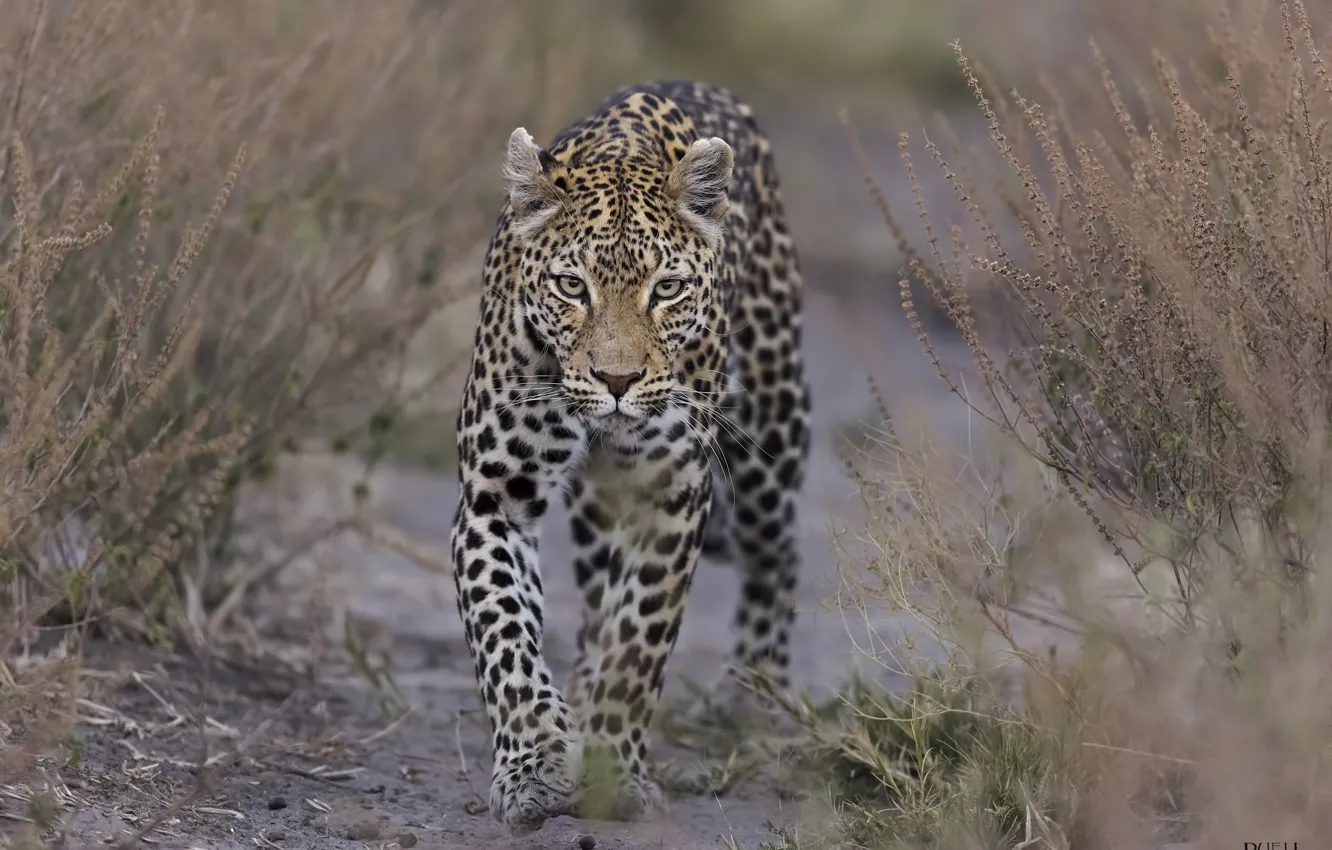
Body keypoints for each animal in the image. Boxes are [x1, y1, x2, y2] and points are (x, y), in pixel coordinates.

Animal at [450, 79, 809, 842]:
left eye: (666, 289)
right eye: (571, 286)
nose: (617, 380)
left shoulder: (671, 495)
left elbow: (640, 642)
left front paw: (614, 770)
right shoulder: (496, 496)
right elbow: (506, 637)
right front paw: (537, 766)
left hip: (769, 437)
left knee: (779, 550)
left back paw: (752, 696)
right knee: (592, 607)